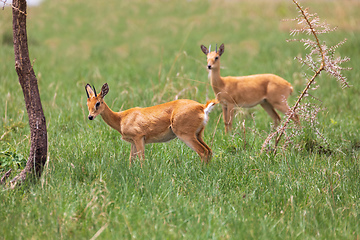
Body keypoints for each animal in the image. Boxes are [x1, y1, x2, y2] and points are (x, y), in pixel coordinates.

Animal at [86, 83, 218, 166]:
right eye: (88, 103)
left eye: (98, 103)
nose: (90, 117)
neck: (121, 118)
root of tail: (202, 107)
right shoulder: (133, 142)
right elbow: (131, 160)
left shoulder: (139, 138)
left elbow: (142, 160)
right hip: (198, 135)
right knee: (209, 151)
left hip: (186, 135)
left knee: (203, 152)